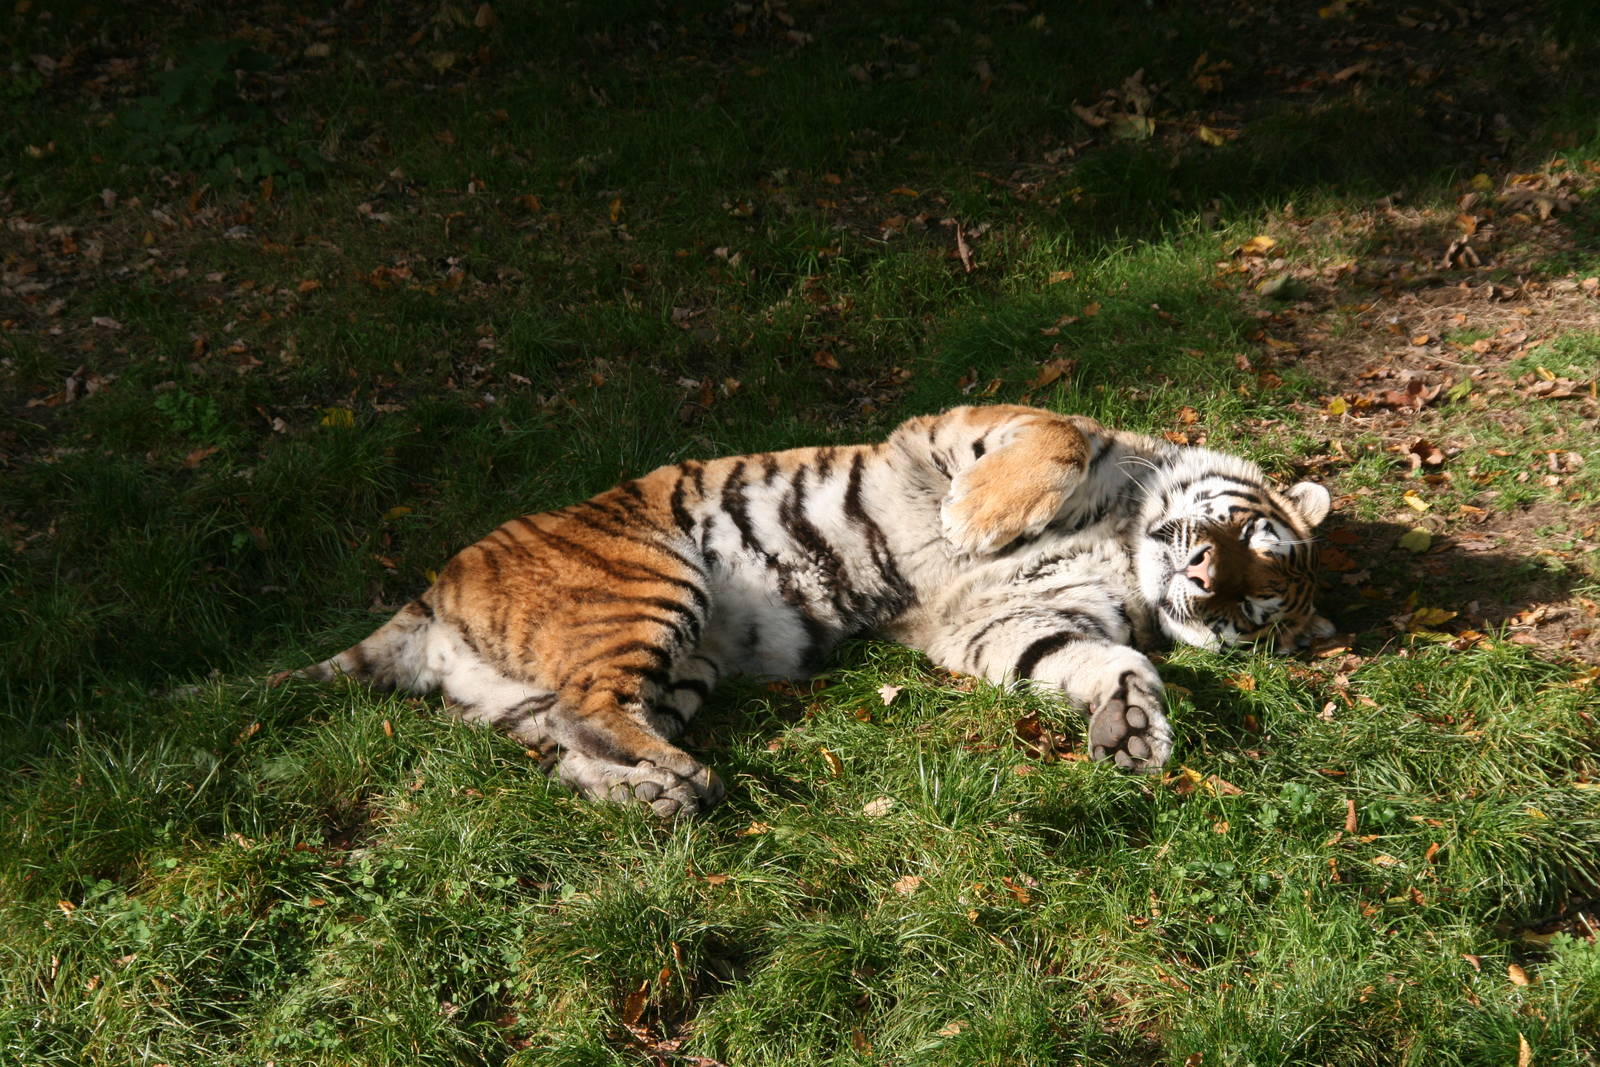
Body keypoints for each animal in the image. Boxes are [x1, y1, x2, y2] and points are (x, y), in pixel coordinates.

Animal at [273, 404, 1334, 817]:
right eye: (1248, 539)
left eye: (1250, 608)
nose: (1200, 577)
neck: (1121, 545)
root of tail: (434, 589)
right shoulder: (972, 426)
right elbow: (1055, 442)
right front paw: (973, 517)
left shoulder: (1010, 625)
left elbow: (1112, 661)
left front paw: (1135, 728)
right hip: (656, 580)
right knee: (591, 708)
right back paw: (675, 780)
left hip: (665, 662)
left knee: (576, 734)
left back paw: (662, 790)